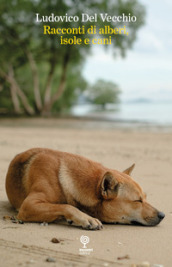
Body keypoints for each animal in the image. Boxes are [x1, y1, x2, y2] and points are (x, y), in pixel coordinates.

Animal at [5, 148, 164, 231]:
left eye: (145, 197)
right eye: (137, 201)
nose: (162, 215)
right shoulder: (28, 206)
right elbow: (66, 206)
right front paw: (86, 218)